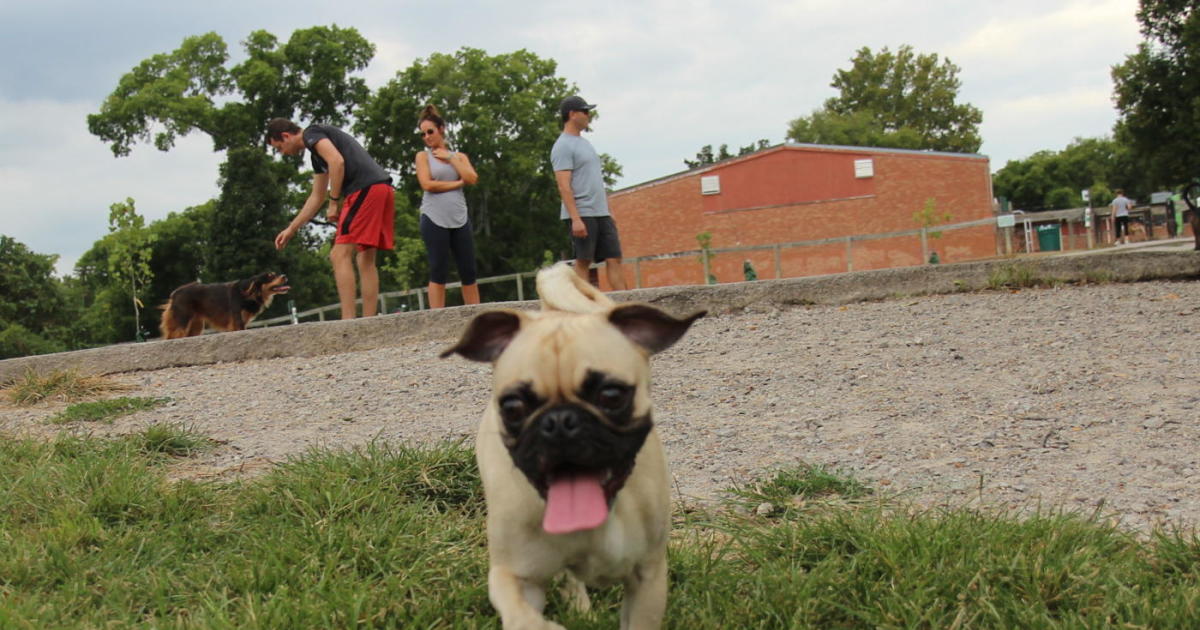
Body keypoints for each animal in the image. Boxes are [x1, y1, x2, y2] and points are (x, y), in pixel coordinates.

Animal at [159, 271, 290, 338]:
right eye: (270, 276)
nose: (285, 276)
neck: (248, 293)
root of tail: (175, 294)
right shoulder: (237, 321)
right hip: (181, 323)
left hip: (196, 326)